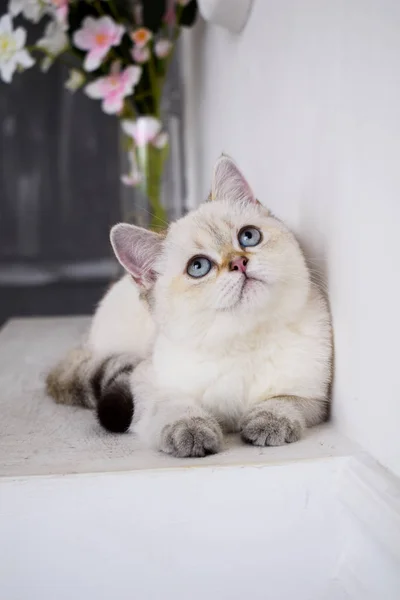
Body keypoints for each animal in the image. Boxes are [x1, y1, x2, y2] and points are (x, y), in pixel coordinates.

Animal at [47, 157, 332, 458]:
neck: (245, 339)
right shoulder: (147, 381)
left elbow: (284, 400)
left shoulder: (313, 397)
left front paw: (268, 423)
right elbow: (177, 407)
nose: (239, 263)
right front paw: (192, 432)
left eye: (248, 237)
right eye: (198, 267)